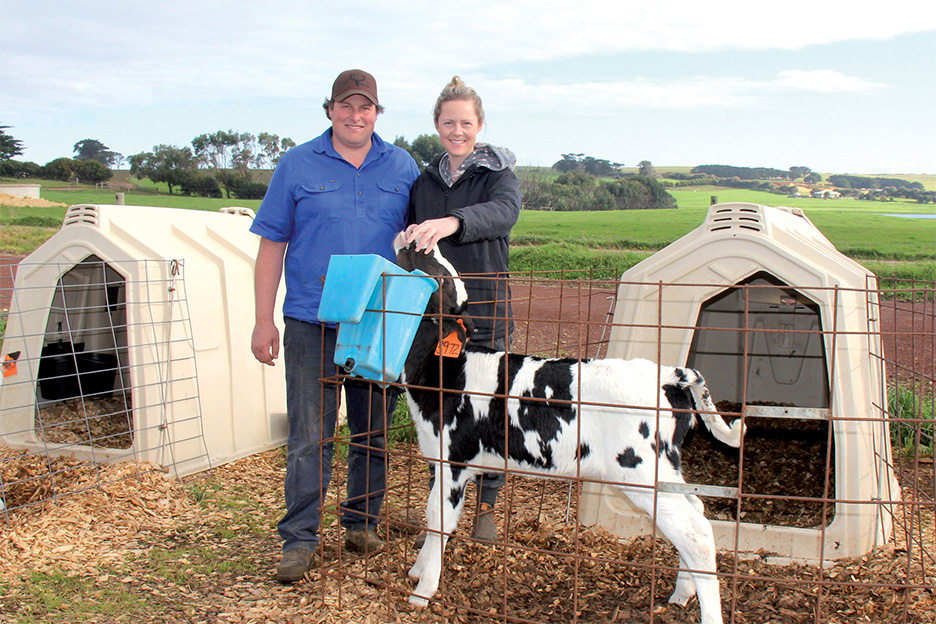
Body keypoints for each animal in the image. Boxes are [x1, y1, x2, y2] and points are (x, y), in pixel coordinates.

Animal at [392, 235, 744, 624]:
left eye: (439, 275)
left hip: (639, 471)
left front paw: (422, 592)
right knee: (696, 510)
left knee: (696, 533)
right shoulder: (439, 457)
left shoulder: (454, 461)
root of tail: (668, 373)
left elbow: (439, 518)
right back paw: (682, 593)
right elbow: (431, 514)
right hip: (666, 468)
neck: (445, 372)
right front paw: (417, 570)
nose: (416, 239)